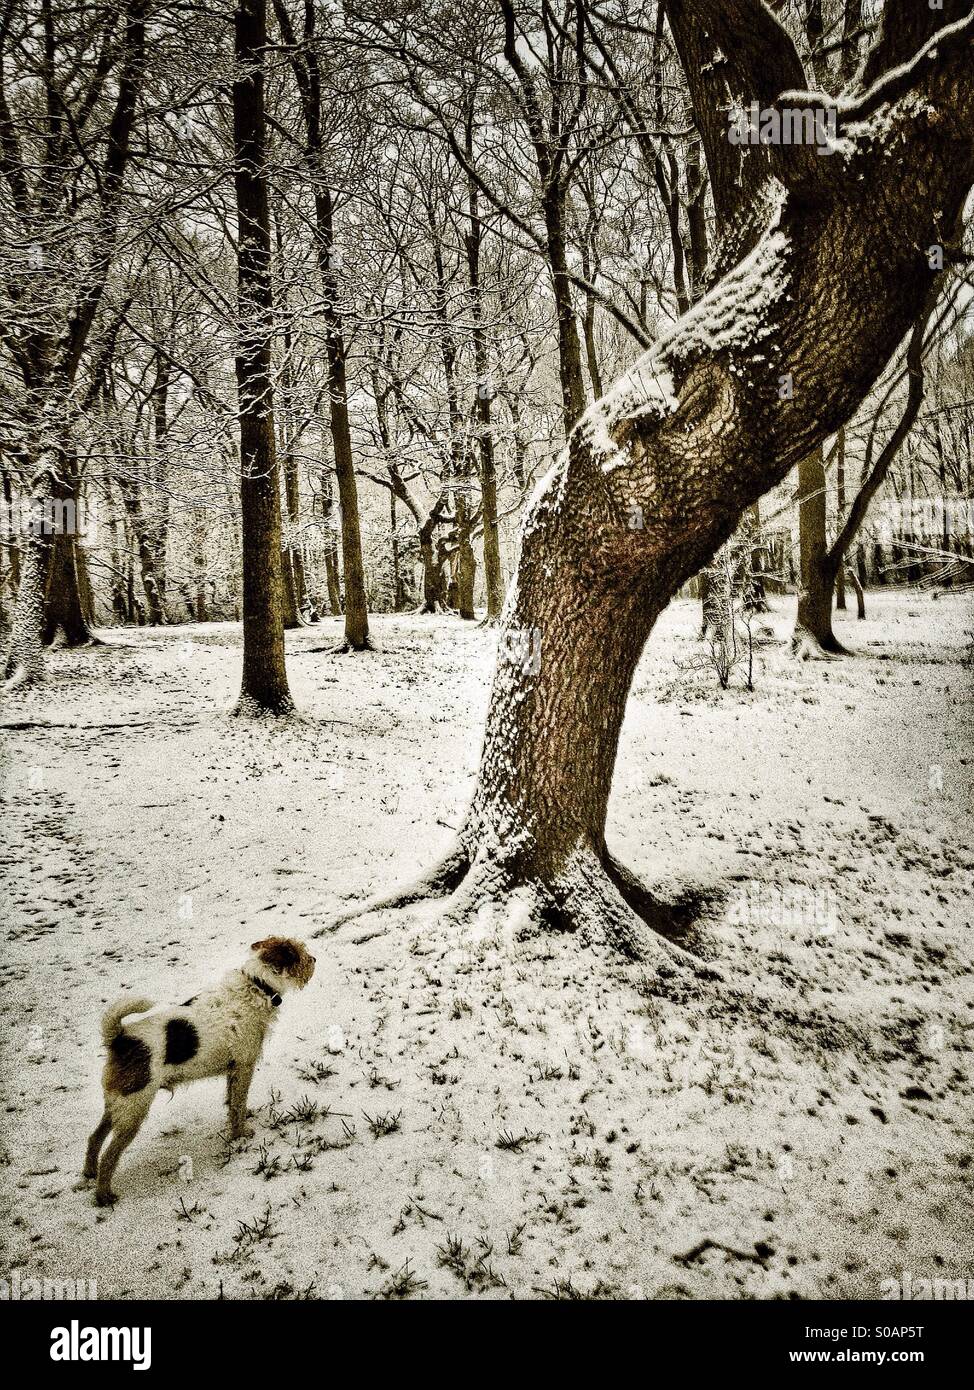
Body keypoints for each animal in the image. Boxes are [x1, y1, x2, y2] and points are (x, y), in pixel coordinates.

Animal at [80, 939, 315, 1200]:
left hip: (118, 1104)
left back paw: (90, 1171)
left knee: (94, 1137)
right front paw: (241, 1134)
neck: (257, 985)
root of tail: (120, 1038)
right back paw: (104, 1195)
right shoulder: (244, 1066)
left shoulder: (233, 1071)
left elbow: (232, 1102)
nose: (314, 960)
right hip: (133, 1109)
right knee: (109, 1155)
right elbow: (238, 1104)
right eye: (300, 953)